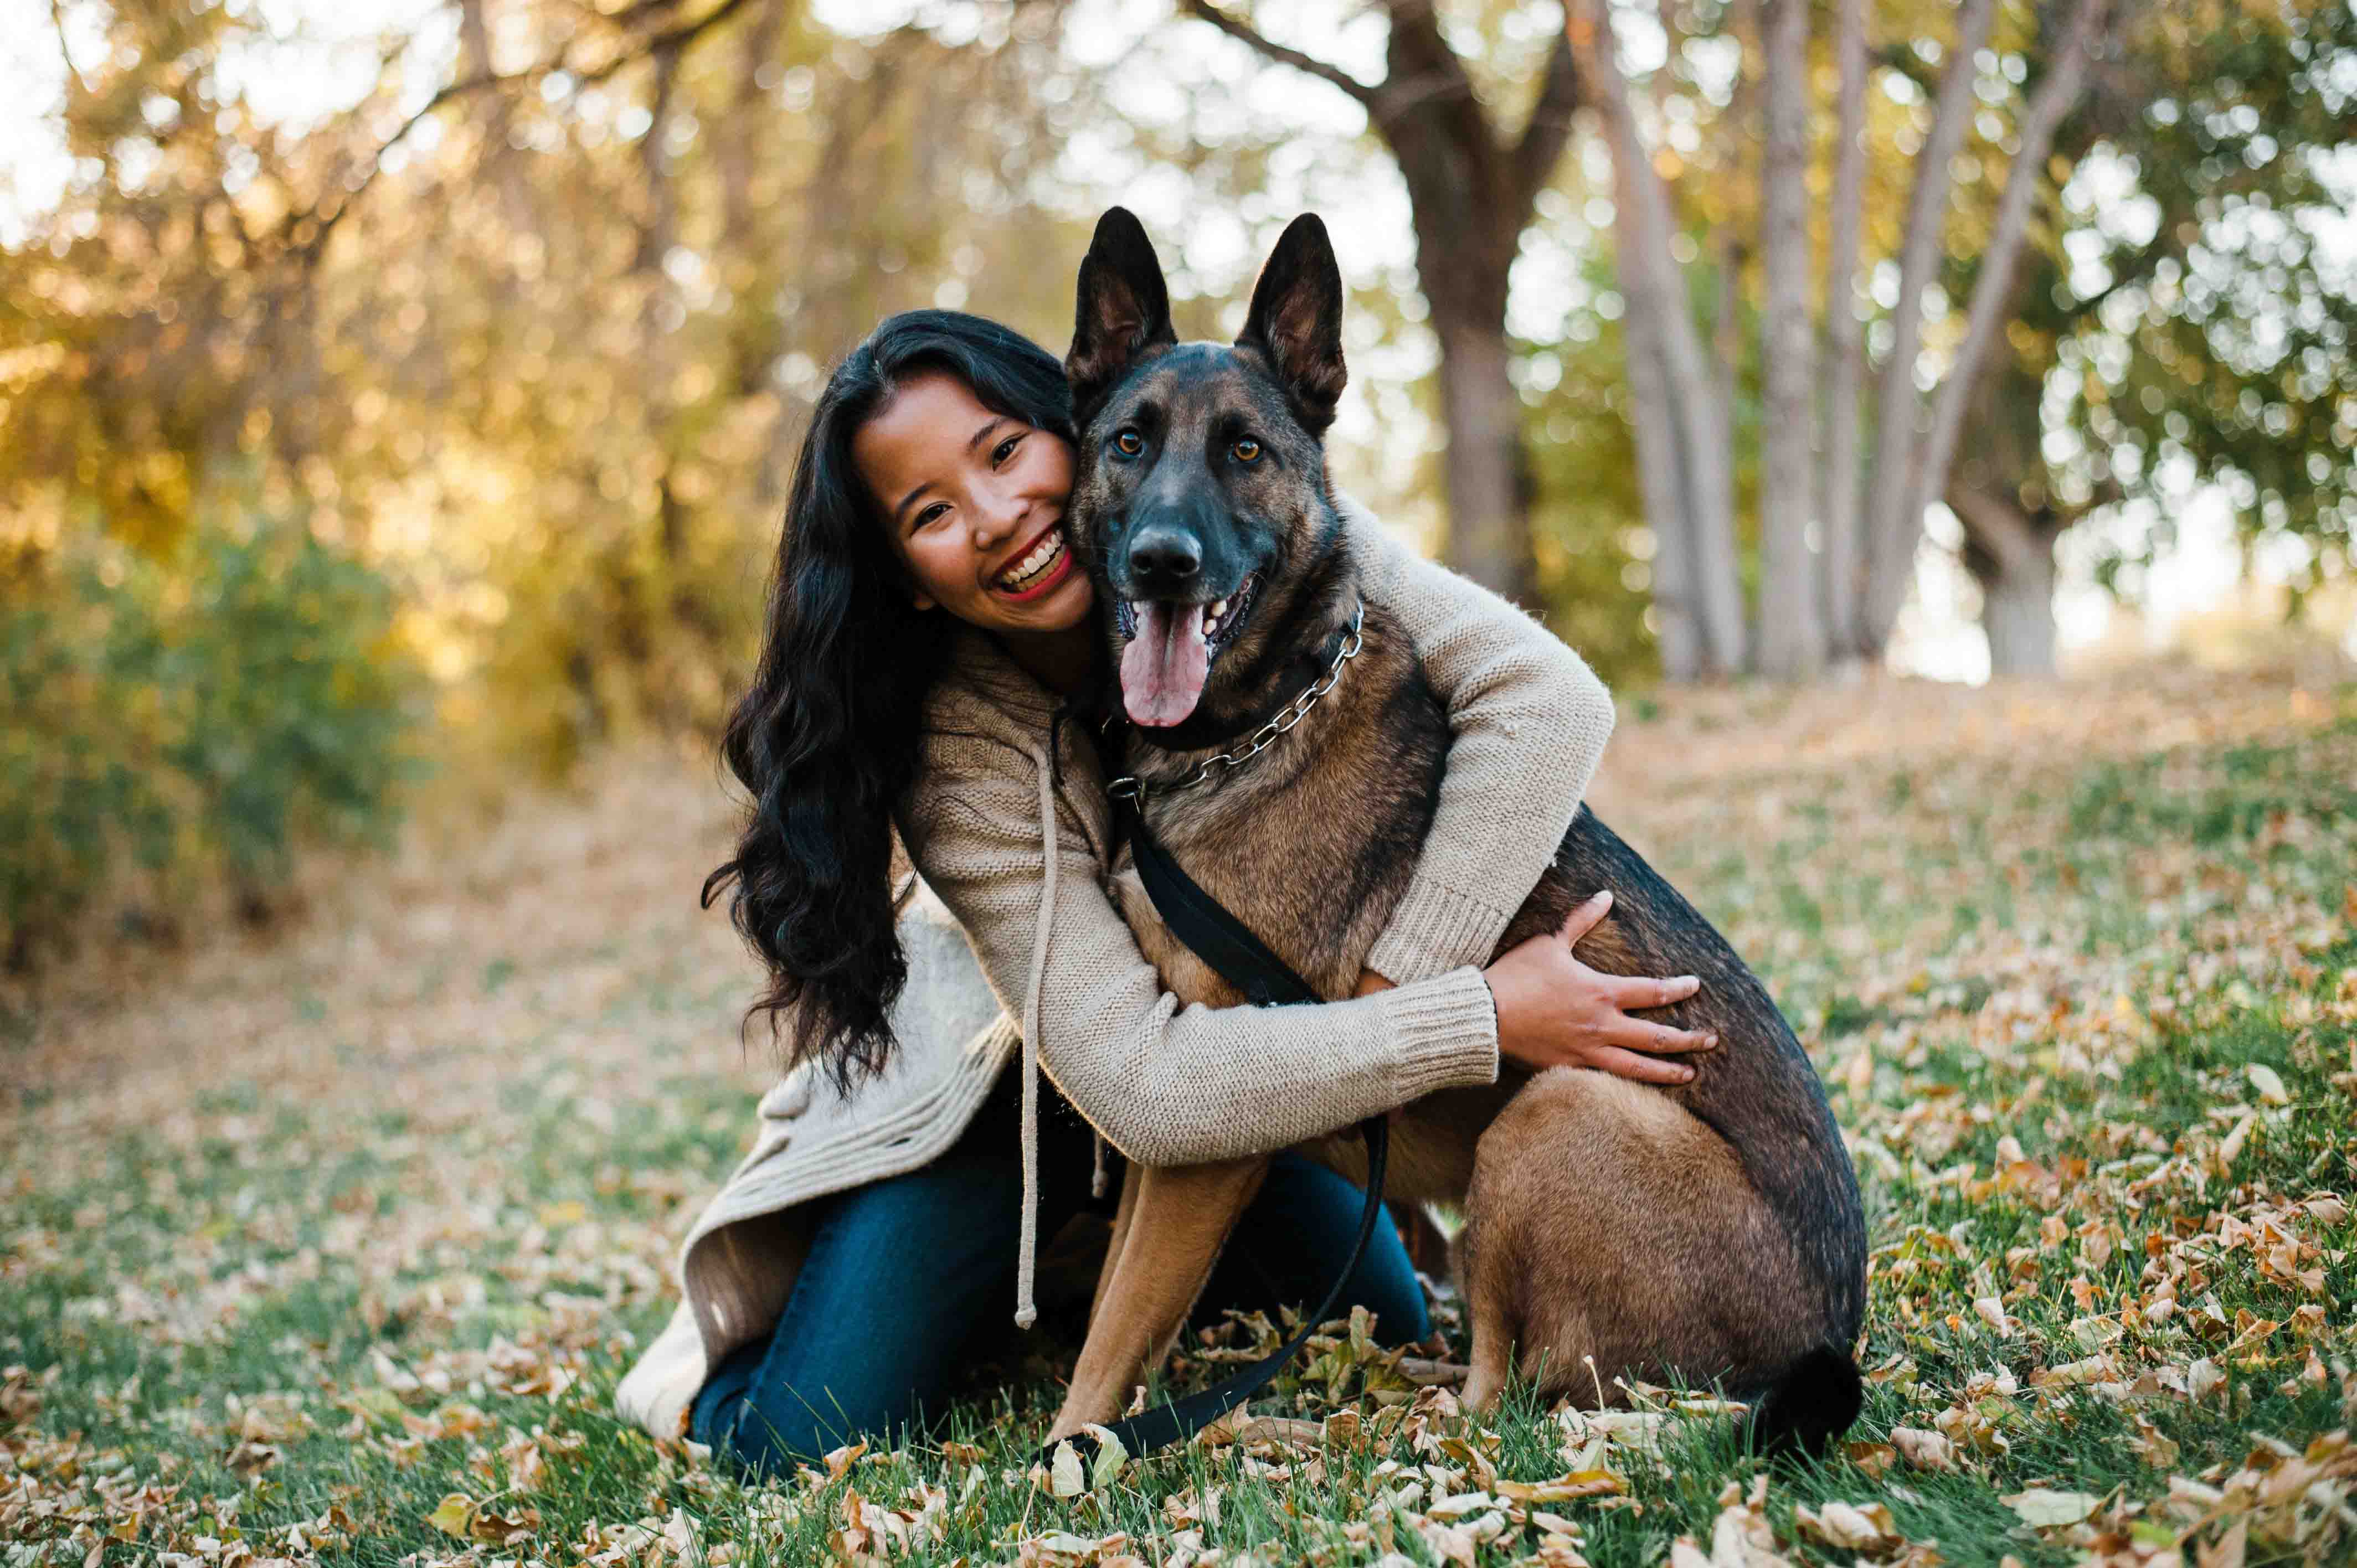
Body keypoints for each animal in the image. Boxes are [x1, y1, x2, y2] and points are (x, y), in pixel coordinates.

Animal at [1051, 207, 1876, 1452]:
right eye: (1129, 443)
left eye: (1245, 453)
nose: (1162, 562)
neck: (1250, 723)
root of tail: (1830, 1341)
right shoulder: (1171, 1112)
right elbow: (1114, 1304)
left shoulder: (1209, 1135)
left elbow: (1110, 1337)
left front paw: (1066, 1459)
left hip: (1554, 1112)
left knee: (1513, 1389)